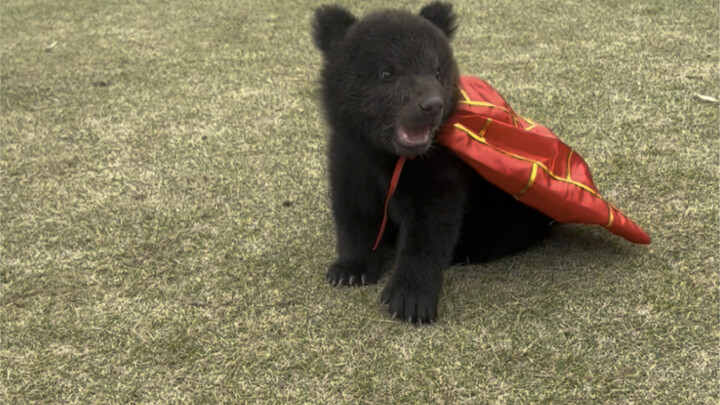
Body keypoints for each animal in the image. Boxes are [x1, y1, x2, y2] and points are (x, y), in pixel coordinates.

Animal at [312, 2, 552, 323]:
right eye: (386, 73)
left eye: (437, 72)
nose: (431, 105)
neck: (387, 157)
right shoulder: (349, 159)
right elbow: (355, 214)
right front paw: (350, 269)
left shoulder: (440, 170)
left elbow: (429, 228)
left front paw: (410, 299)